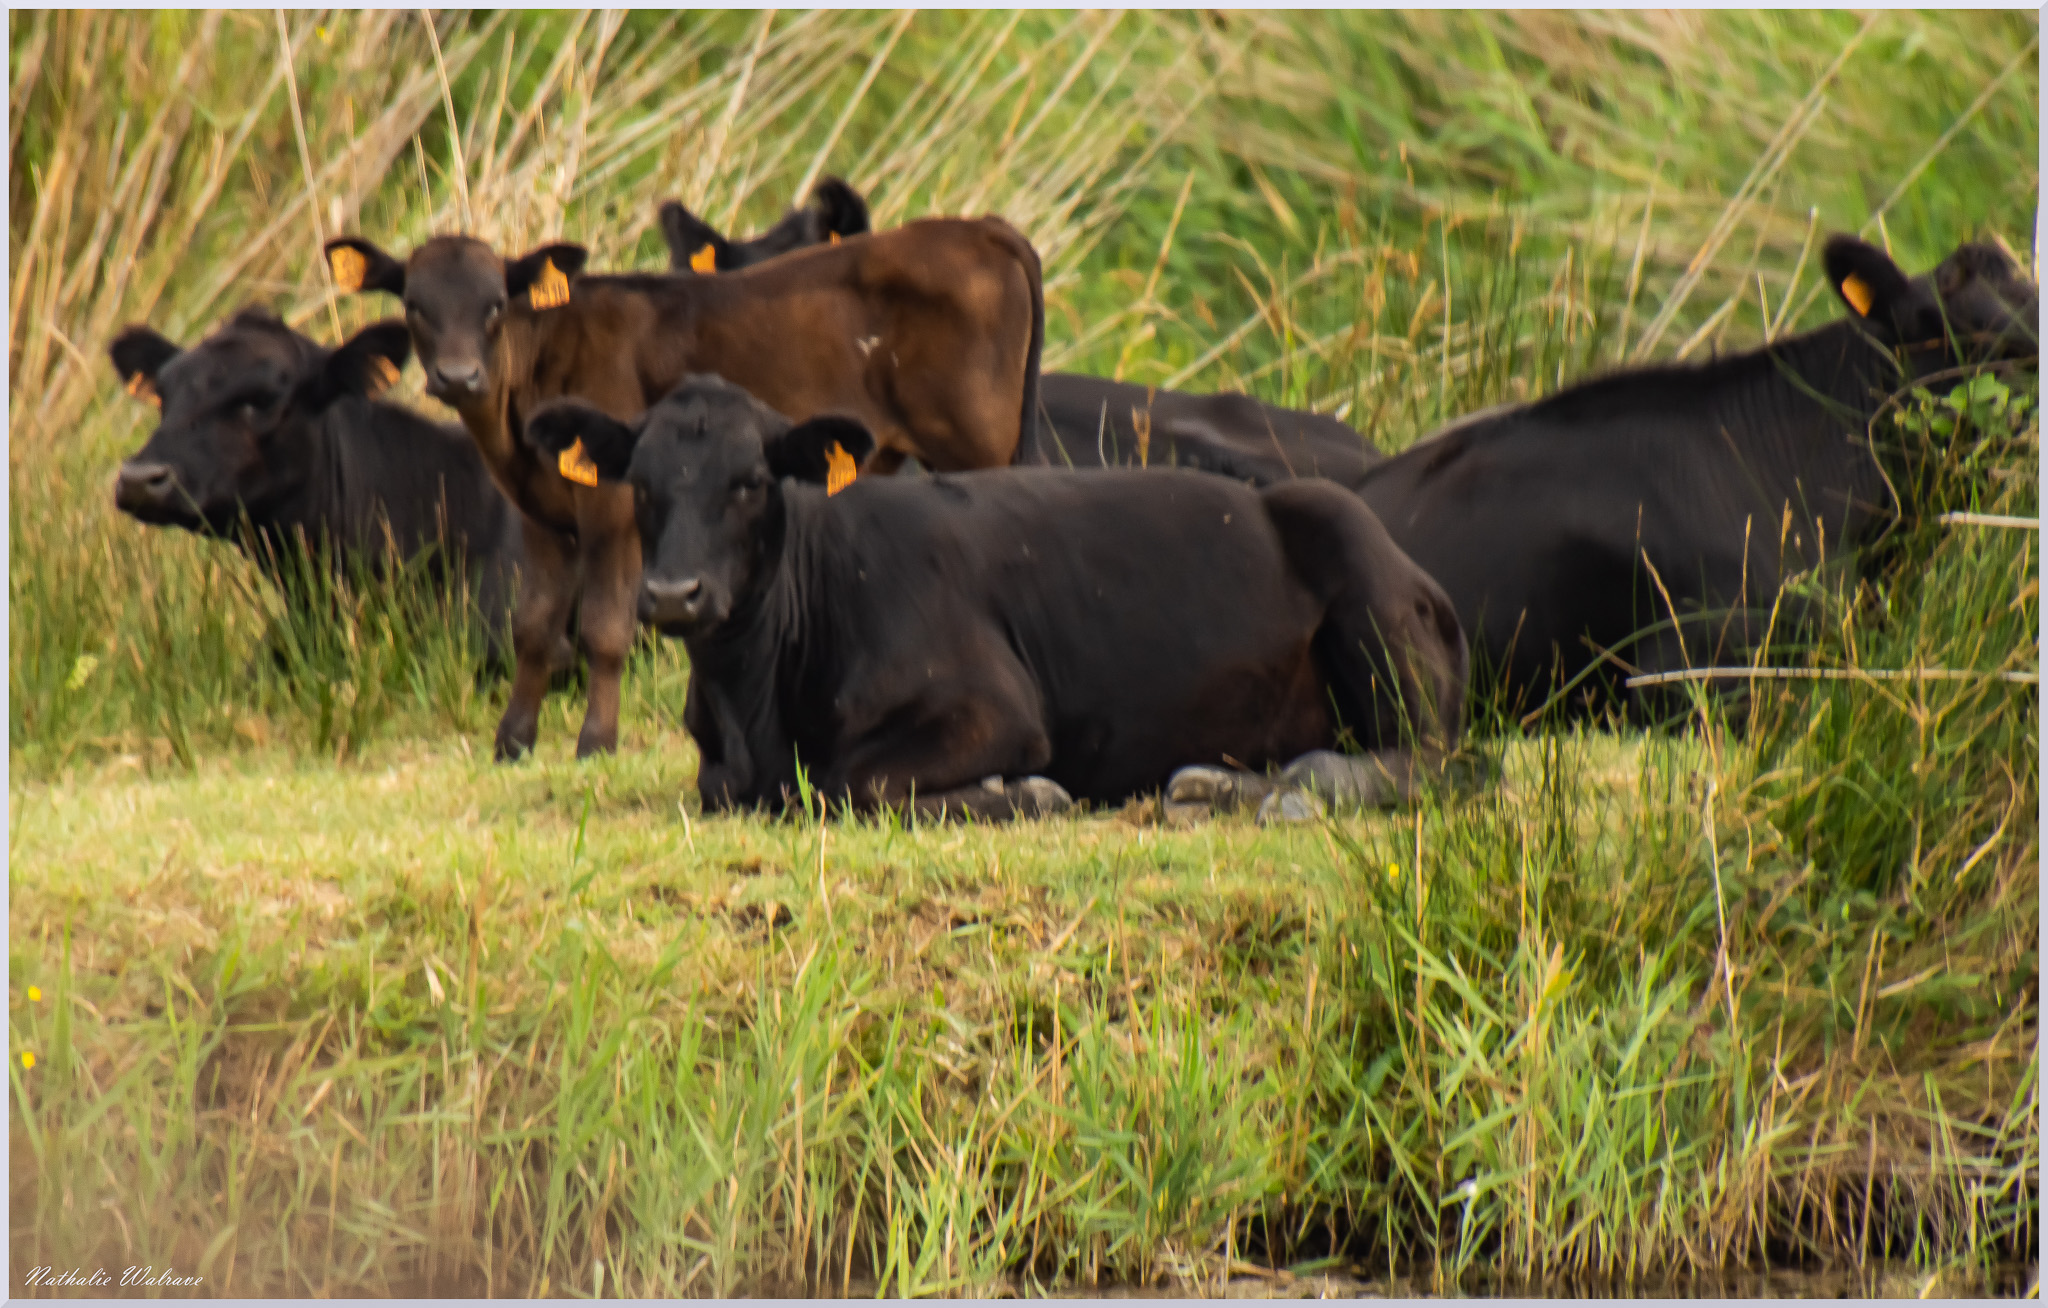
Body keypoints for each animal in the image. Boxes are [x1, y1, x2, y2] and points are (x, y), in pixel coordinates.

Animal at [327, 213, 1048, 761]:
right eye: (415, 306)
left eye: (495, 305)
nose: (458, 376)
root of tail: (978, 227)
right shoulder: (542, 516)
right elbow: (533, 625)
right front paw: (513, 740)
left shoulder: (611, 509)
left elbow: (603, 628)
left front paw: (595, 742)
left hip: (975, 443)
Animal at [520, 372, 1466, 818]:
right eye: (641, 484)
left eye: (752, 481)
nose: (674, 595)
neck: (757, 706)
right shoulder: (722, 766)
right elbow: (742, 786)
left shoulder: (997, 709)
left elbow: (849, 782)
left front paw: (1026, 794)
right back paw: (1220, 784)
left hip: (1368, 587)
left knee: (1444, 759)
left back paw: (1295, 786)